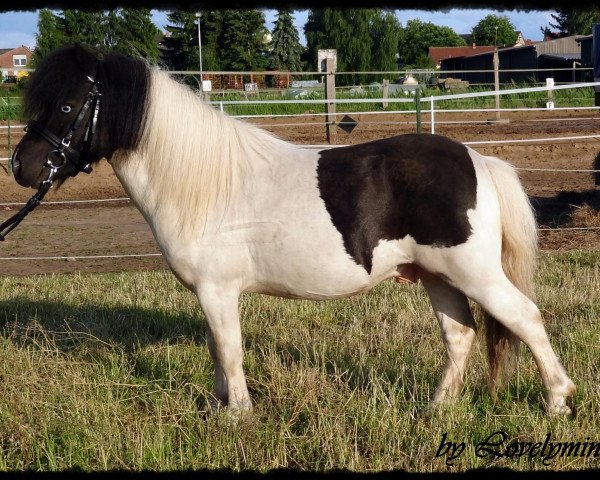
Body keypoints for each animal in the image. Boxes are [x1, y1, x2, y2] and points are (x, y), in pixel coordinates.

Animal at [10, 47, 576, 418]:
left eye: (66, 105)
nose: (21, 166)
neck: (204, 182)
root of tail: (479, 161)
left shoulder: (218, 290)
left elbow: (230, 349)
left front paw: (238, 417)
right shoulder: (213, 295)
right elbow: (217, 349)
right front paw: (219, 407)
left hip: (476, 274)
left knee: (526, 318)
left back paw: (557, 402)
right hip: (437, 277)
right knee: (460, 336)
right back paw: (436, 409)